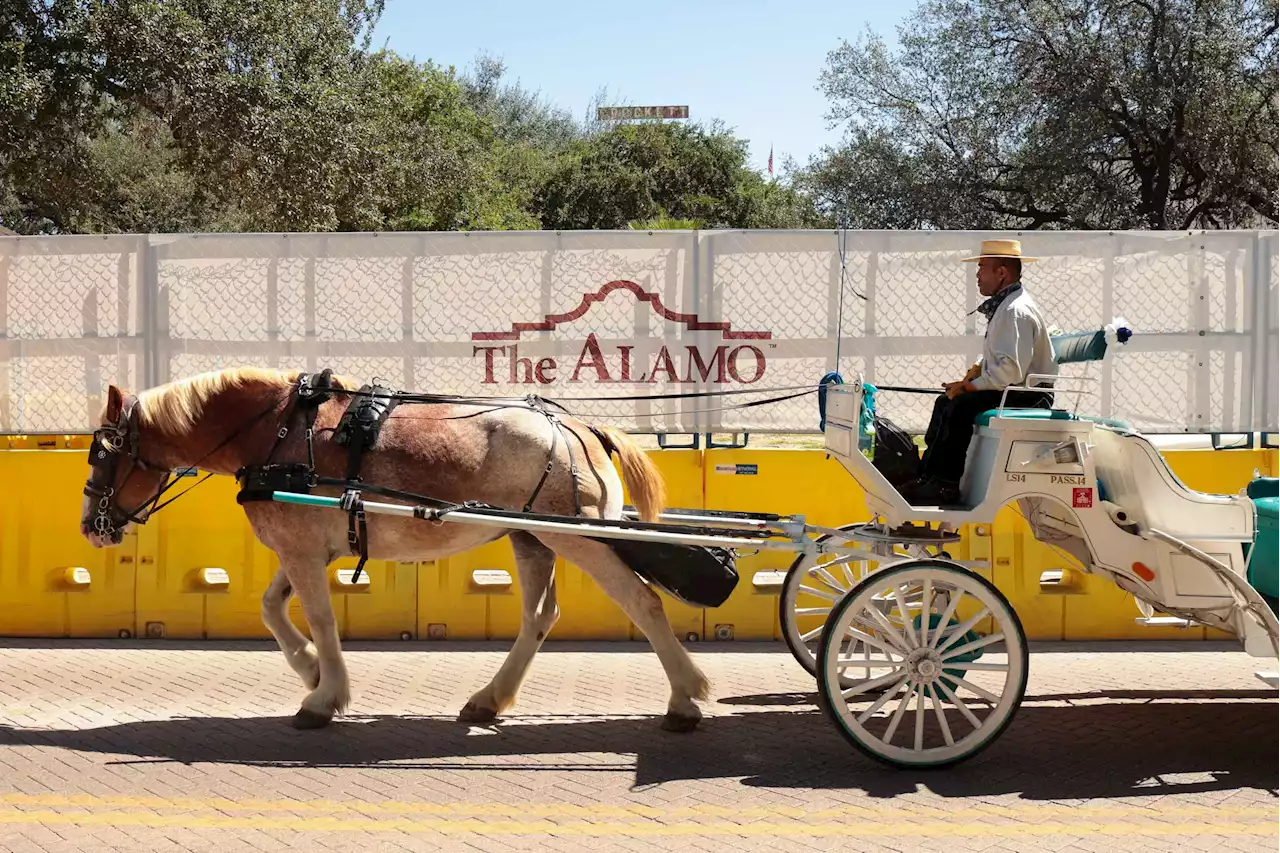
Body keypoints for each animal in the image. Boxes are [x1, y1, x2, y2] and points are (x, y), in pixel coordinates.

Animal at [78, 366, 716, 732]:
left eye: (102, 454)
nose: (90, 525)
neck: (278, 433)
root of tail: (577, 426)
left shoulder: (301, 552)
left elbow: (320, 619)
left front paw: (324, 695)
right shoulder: (306, 548)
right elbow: (270, 608)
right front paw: (310, 670)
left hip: (576, 537)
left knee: (642, 602)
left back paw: (685, 698)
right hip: (530, 538)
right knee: (539, 617)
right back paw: (489, 699)